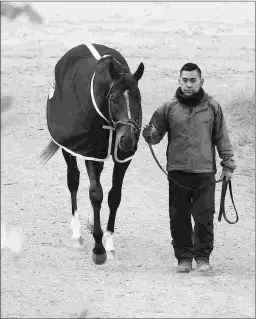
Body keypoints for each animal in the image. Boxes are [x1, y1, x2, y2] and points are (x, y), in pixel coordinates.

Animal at [40, 44, 144, 264]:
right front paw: (98, 249)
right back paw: (77, 234)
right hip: (69, 149)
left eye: (138, 98)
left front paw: (109, 243)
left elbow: (114, 196)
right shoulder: (91, 154)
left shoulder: (122, 158)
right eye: (113, 99)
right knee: (73, 181)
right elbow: (96, 194)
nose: (127, 140)